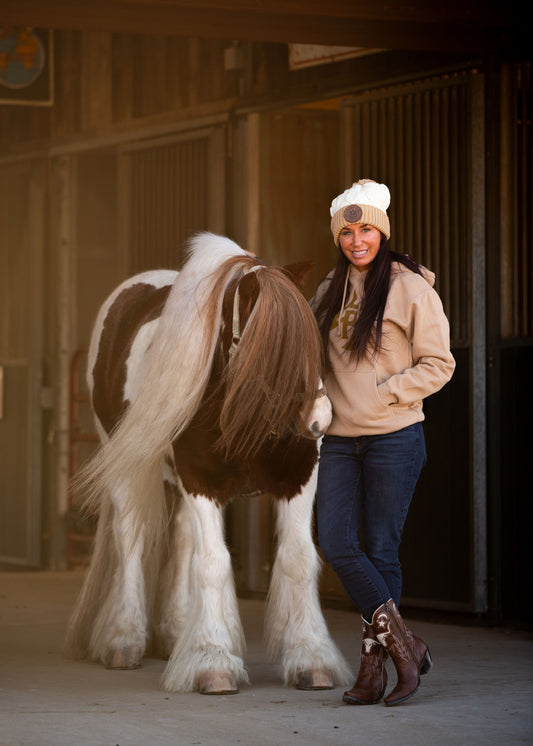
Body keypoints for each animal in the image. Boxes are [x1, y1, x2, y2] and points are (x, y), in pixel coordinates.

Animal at [64, 231, 352, 692]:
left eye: (313, 334)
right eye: (268, 342)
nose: (319, 420)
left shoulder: (299, 475)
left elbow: (298, 559)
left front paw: (312, 657)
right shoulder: (200, 480)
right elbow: (213, 563)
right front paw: (213, 661)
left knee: (182, 541)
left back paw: (176, 632)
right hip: (127, 469)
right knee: (131, 541)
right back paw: (124, 639)